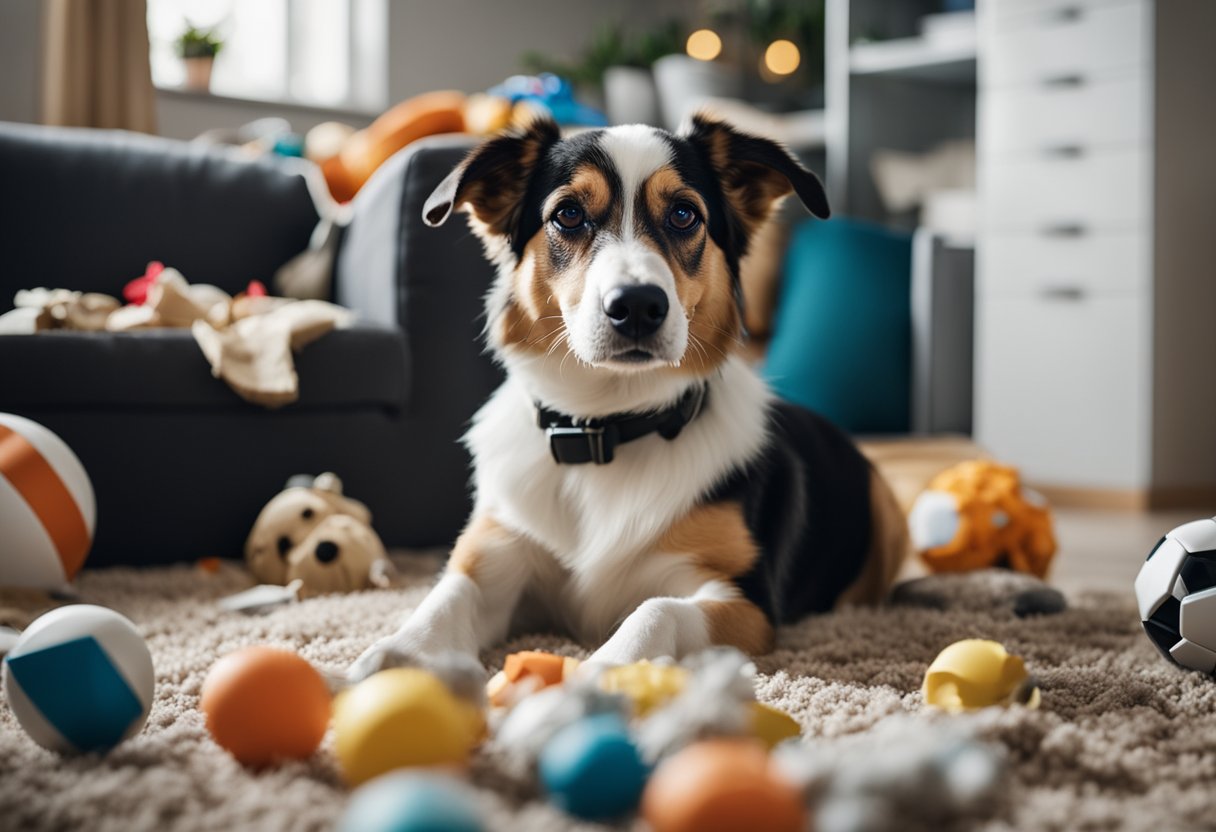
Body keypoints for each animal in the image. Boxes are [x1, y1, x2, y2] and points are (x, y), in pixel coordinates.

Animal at [347, 115, 909, 676]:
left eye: (683, 214)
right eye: (568, 214)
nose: (637, 305)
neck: (607, 427)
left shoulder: (745, 600)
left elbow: (657, 610)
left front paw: (607, 669)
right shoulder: (497, 555)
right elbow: (446, 596)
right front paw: (396, 657)